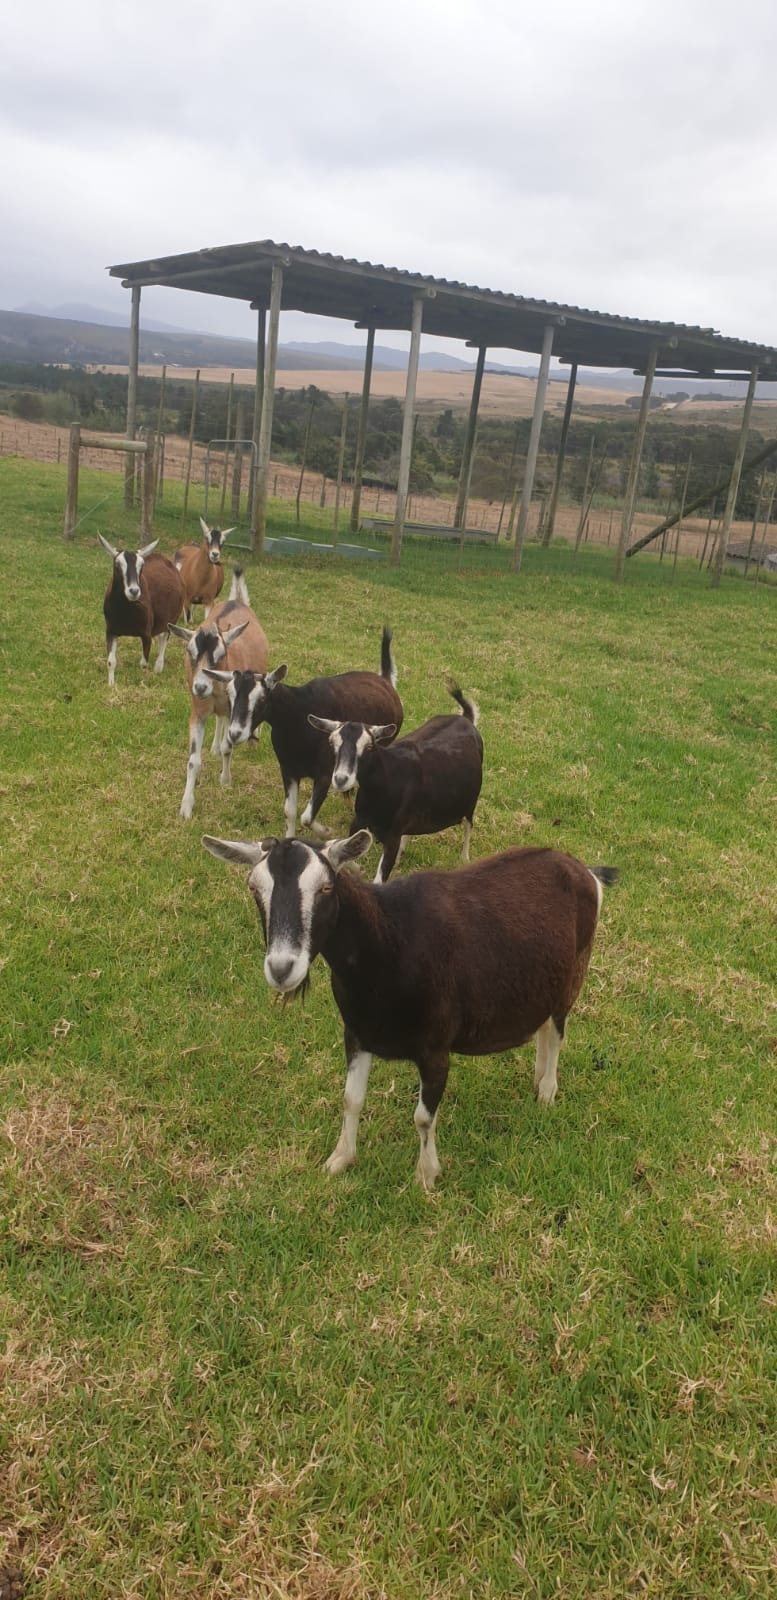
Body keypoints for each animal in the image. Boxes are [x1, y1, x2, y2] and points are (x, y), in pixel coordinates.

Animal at [100, 534, 184, 687]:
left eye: (142, 565)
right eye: (117, 565)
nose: (134, 591)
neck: (126, 611)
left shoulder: (146, 634)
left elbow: (143, 664)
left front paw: (142, 683)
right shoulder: (111, 631)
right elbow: (110, 662)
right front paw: (111, 685)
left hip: (173, 618)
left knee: (165, 637)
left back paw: (158, 667)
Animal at [169, 568, 269, 820]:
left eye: (221, 653)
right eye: (190, 651)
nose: (200, 687)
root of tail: (237, 601)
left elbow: (228, 746)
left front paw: (225, 780)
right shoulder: (198, 712)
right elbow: (193, 760)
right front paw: (186, 807)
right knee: (220, 719)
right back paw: (214, 745)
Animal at [202, 831, 617, 1188]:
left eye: (325, 887)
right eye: (254, 887)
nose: (281, 968)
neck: (389, 942)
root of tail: (585, 872)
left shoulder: (436, 1048)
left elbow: (422, 1117)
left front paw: (426, 1176)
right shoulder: (357, 1033)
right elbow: (351, 1099)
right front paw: (340, 1159)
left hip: (574, 973)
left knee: (558, 1031)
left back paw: (546, 1092)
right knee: (545, 1028)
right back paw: (537, 1078)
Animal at [207, 627, 403, 837]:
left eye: (261, 699)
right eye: (229, 694)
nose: (235, 733)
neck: (298, 715)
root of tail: (385, 681)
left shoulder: (324, 774)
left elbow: (307, 817)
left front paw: (327, 832)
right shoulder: (289, 770)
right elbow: (290, 812)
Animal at [310, 683, 483, 882]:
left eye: (369, 746)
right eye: (332, 743)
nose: (340, 779)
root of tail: (466, 719)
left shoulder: (392, 835)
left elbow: (379, 879)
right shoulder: (359, 820)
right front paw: (359, 869)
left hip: (470, 801)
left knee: (468, 824)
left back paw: (464, 858)